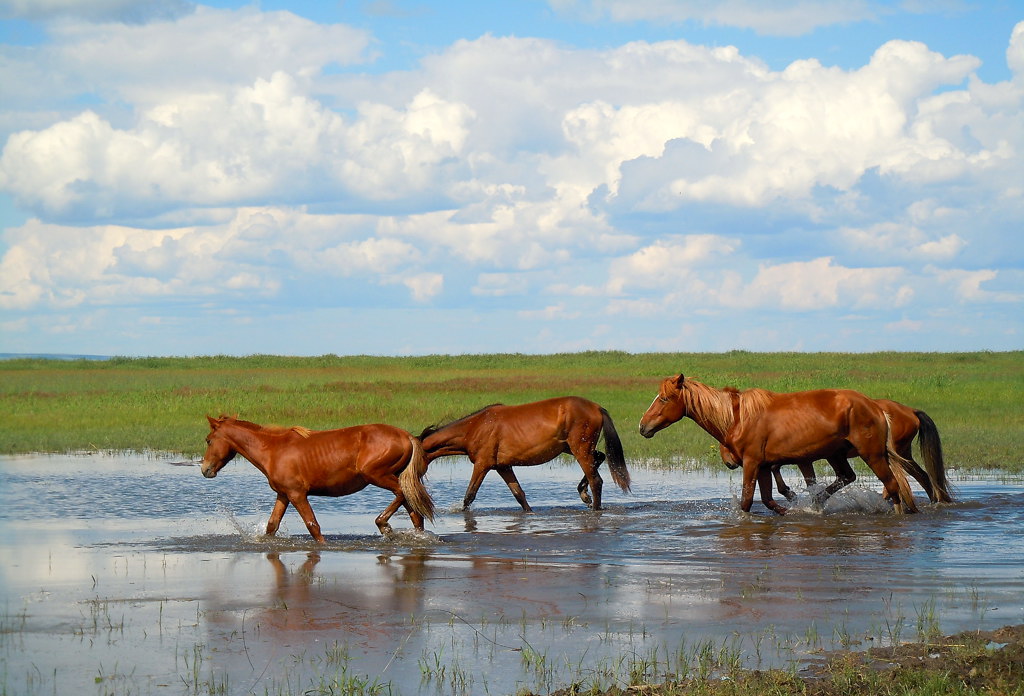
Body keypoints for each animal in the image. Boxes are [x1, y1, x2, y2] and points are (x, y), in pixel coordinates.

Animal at [201, 415, 434, 540]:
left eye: (208, 440)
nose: (205, 469)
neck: (273, 451)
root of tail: (406, 436)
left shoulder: (297, 495)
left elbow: (313, 525)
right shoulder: (283, 495)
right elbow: (272, 526)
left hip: (377, 475)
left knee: (401, 494)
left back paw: (383, 523)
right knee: (414, 511)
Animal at [417, 397, 630, 511]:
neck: (475, 428)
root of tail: (596, 407)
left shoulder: (482, 465)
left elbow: (469, 495)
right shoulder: (503, 467)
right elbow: (519, 494)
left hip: (580, 450)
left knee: (596, 480)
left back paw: (594, 506)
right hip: (572, 448)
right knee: (600, 457)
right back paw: (583, 494)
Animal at [638, 374, 921, 515]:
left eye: (664, 399)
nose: (643, 426)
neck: (738, 418)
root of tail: (875, 407)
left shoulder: (752, 464)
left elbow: (747, 501)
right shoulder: (764, 466)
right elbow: (768, 500)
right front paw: (792, 510)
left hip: (872, 455)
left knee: (893, 487)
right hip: (837, 455)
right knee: (847, 477)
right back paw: (817, 502)